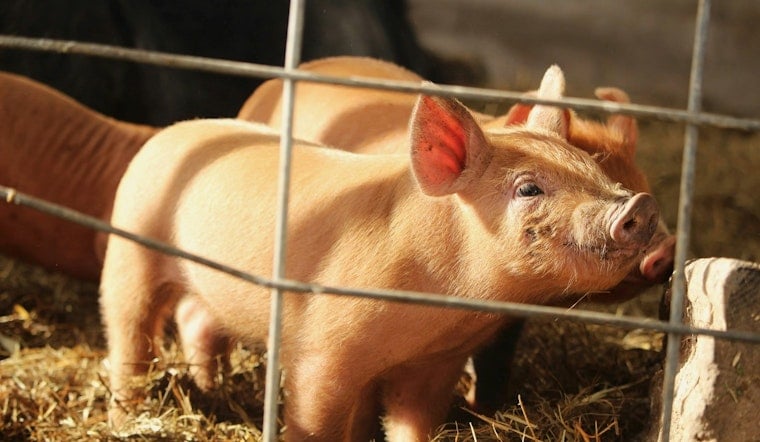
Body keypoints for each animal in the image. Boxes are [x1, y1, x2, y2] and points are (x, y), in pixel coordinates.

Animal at [101, 66, 659, 441]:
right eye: (528, 189)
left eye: (592, 167)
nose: (639, 205)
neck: (438, 309)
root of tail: (175, 131)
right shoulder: (322, 352)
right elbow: (314, 420)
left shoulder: (436, 364)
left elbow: (414, 422)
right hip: (129, 251)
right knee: (129, 338)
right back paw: (127, 415)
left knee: (195, 317)